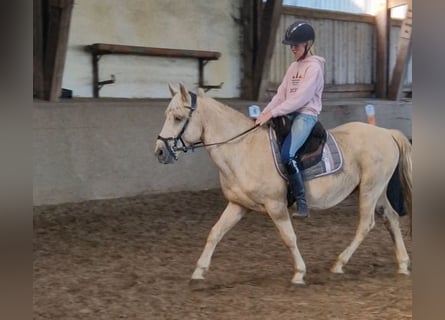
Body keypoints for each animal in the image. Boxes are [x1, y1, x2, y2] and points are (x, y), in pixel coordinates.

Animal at [154, 83, 412, 284]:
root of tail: (387, 133)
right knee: (391, 218)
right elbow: (215, 233)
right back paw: (402, 263)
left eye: (178, 118)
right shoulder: (238, 205)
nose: (159, 152)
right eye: (166, 114)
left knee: (365, 225)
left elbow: (289, 238)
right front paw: (199, 271)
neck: (242, 149)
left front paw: (299, 273)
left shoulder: (276, 206)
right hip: (377, 192)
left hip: (369, 190)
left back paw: (339, 263)